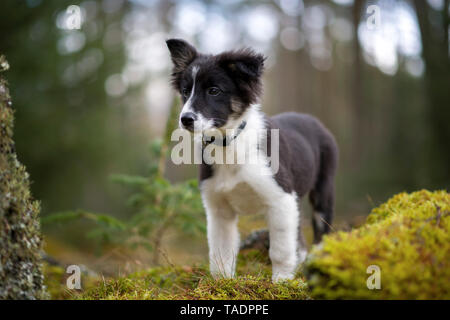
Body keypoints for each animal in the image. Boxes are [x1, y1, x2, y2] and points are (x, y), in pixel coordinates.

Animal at [166, 38, 338, 282]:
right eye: (185, 91)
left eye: (214, 90)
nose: (185, 119)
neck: (229, 144)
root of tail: (313, 120)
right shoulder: (219, 209)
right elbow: (221, 252)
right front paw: (222, 283)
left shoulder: (280, 198)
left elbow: (280, 249)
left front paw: (282, 282)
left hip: (323, 189)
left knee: (321, 230)